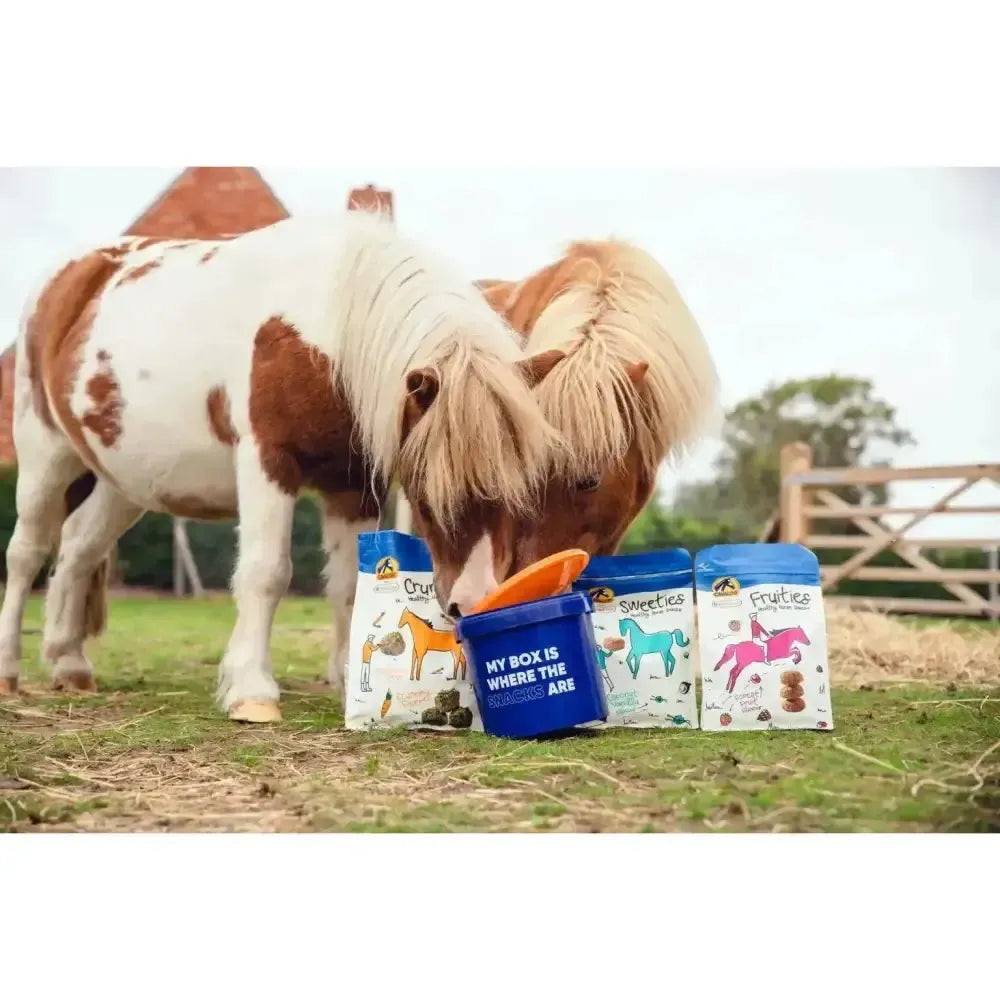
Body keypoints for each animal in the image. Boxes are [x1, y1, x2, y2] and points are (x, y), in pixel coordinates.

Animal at [0, 211, 566, 721]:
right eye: (428, 496)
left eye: (526, 490)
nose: (474, 604)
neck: (326, 327)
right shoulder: (267, 462)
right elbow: (266, 572)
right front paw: (252, 692)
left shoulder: (351, 484)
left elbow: (347, 583)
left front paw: (348, 684)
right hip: (46, 454)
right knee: (27, 553)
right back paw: (10, 672)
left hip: (123, 482)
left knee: (78, 548)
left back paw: (69, 663)